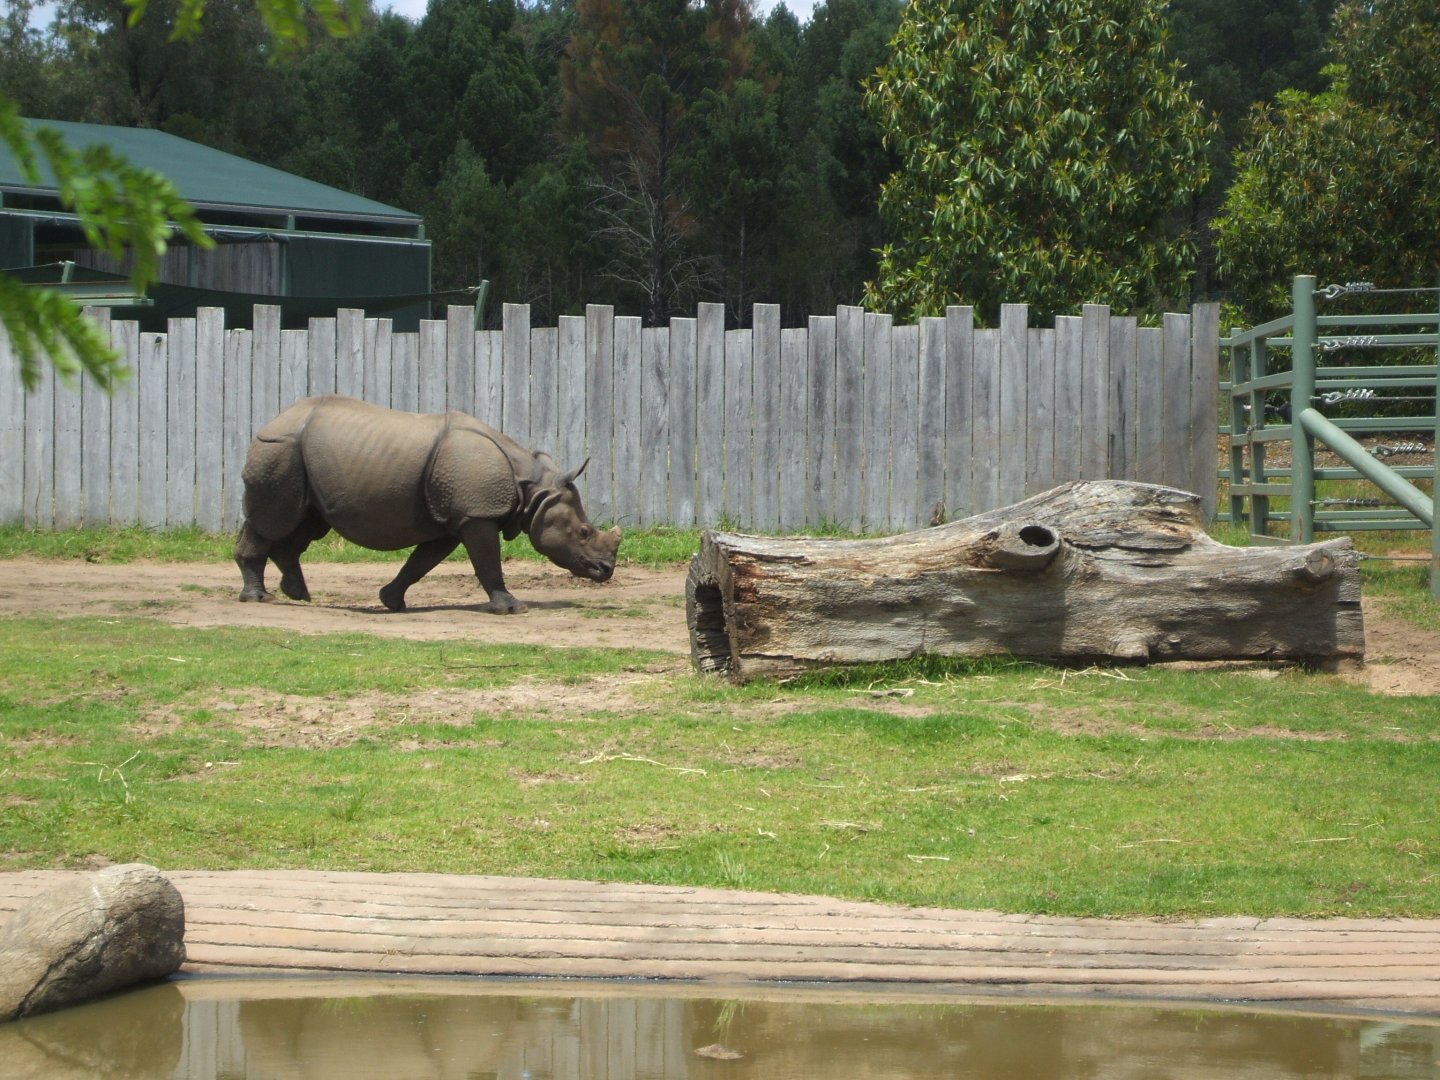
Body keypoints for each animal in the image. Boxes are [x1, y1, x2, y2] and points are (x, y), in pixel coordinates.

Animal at [234, 395, 621, 614]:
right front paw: (512, 608)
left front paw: (391, 601)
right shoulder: (476, 514)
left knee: (307, 521)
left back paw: (298, 595)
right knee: (275, 519)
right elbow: (487, 561)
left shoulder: (453, 519)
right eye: (584, 531)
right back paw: (260, 599)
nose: (606, 571)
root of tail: (271, 420)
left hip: (301, 458)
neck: (533, 489)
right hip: (278, 449)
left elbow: (421, 562)